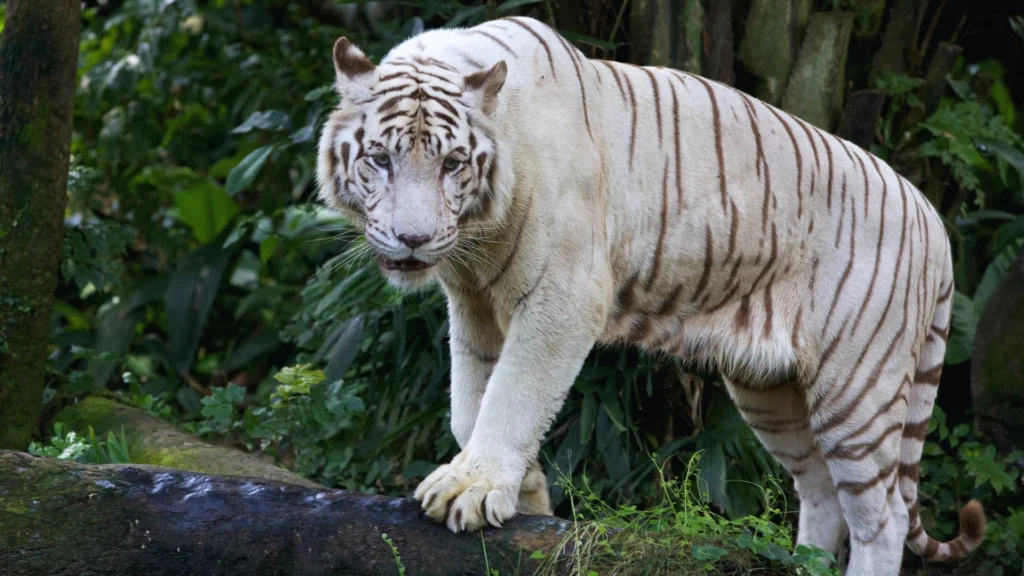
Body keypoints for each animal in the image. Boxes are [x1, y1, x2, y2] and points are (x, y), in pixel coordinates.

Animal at [315, 16, 986, 575]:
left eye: (453, 164)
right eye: (379, 159)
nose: (414, 239)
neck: (477, 239)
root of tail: (931, 214)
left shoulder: (563, 298)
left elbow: (512, 394)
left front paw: (472, 489)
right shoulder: (475, 304)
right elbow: (469, 405)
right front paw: (524, 492)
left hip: (858, 385)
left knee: (882, 517)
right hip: (770, 388)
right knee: (820, 490)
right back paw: (804, 567)